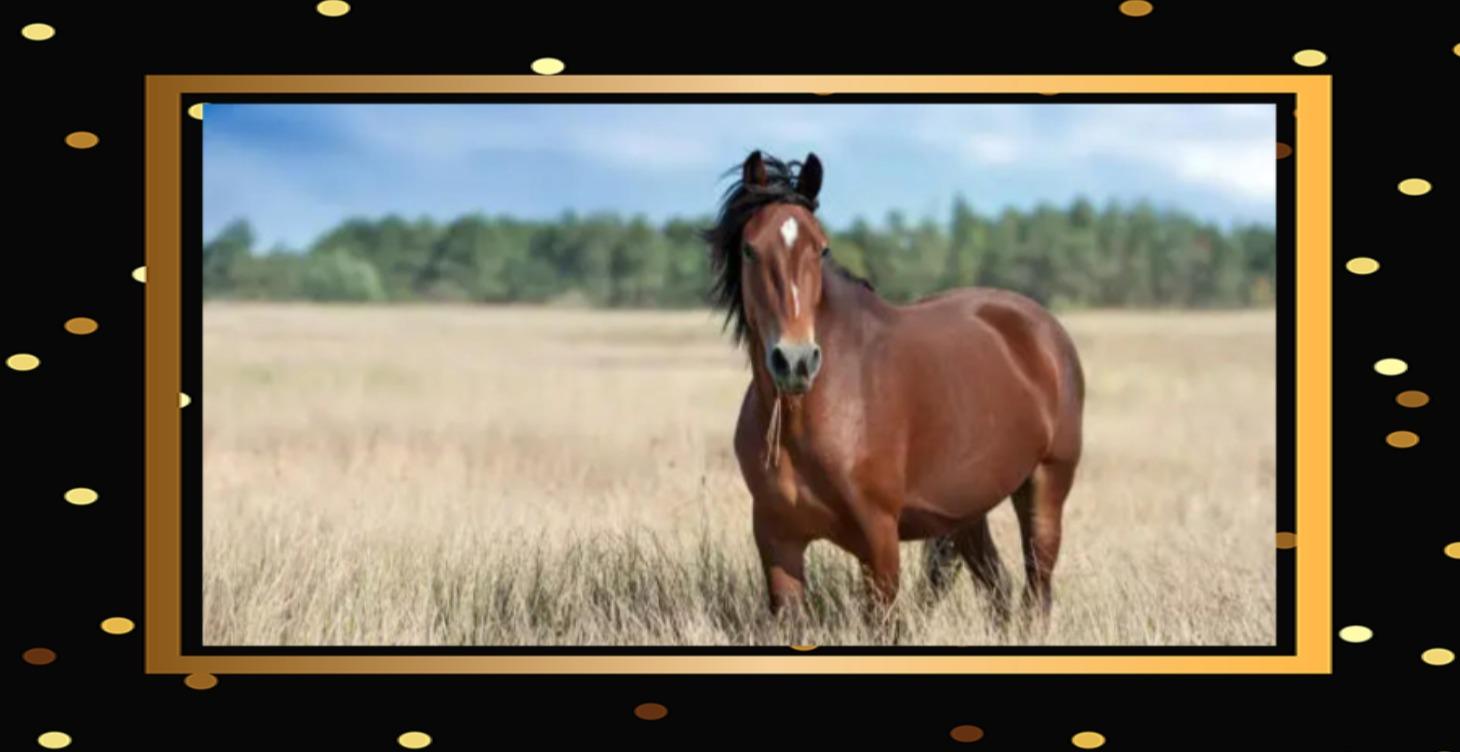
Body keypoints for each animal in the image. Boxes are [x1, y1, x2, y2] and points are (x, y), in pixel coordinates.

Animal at [701, 151, 1085, 630]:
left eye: (822, 248)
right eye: (750, 249)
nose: (796, 361)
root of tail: (1045, 329)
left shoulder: (879, 541)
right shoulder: (777, 540)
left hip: (1046, 487)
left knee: (1037, 587)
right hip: (967, 512)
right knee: (998, 587)